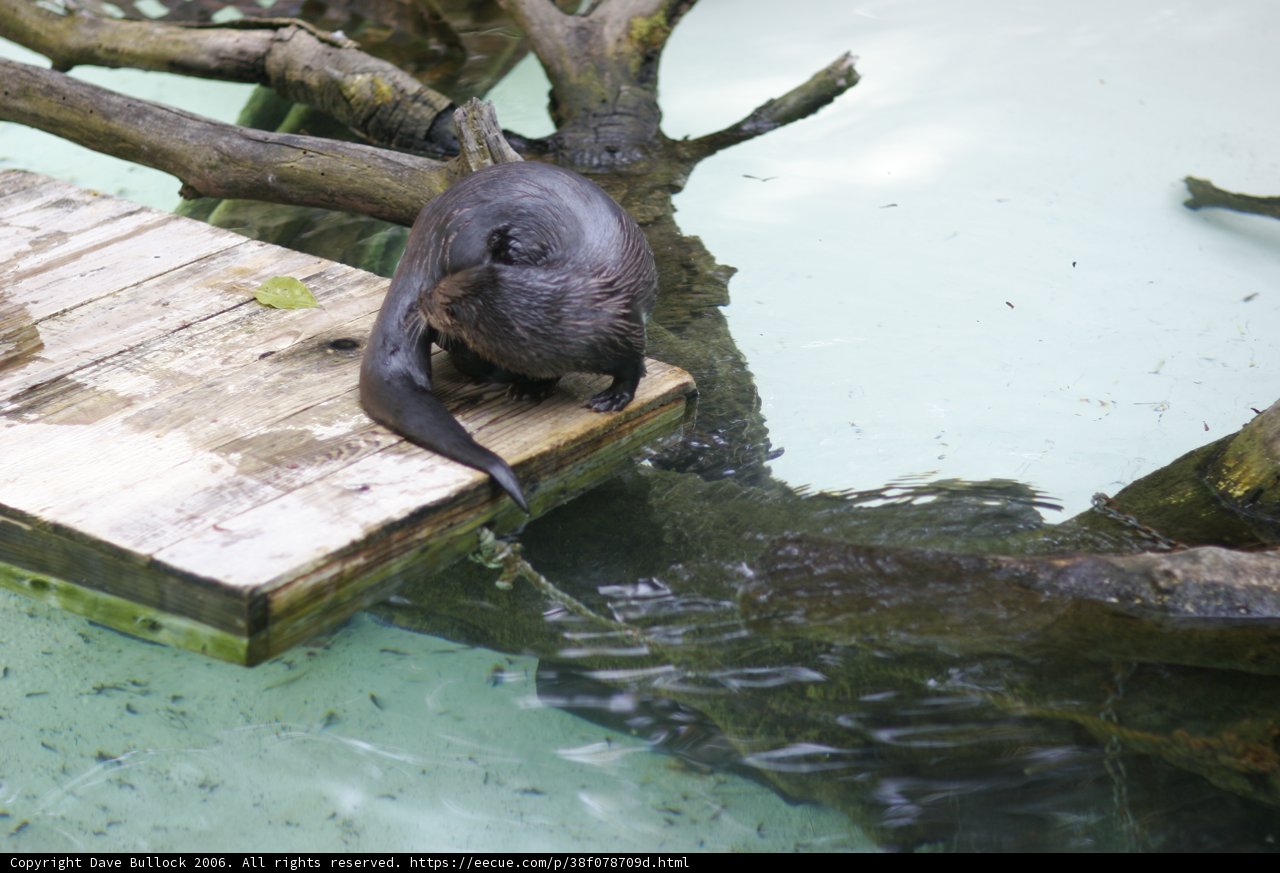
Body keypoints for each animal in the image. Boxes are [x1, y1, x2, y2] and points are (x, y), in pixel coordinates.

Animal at [359, 161, 658, 513]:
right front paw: (531, 385)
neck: (579, 311)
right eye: (441, 288)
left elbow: (632, 367)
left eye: (444, 300)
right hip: (463, 237)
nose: (423, 297)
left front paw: (612, 397)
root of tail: (431, 221)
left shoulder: (623, 331)